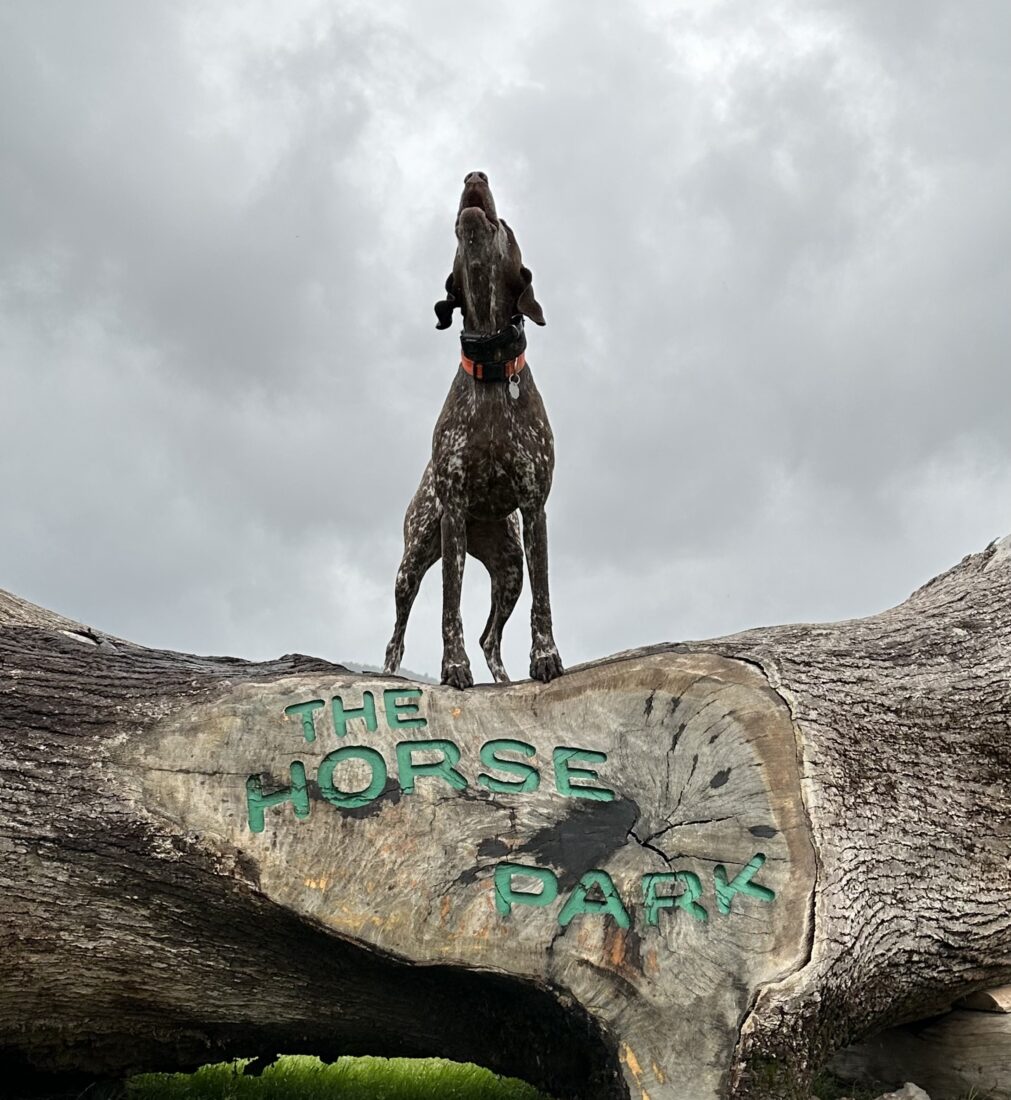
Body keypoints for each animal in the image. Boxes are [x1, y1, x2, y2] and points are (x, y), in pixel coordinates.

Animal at [382, 171, 563, 686]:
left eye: (504, 224)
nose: (474, 176)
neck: (494, 368)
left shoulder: (534, 509)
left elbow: (544, 600)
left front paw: (546, 657)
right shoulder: (454, 515)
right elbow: (450, 607)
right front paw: (453, 667)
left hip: (510, 569)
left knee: (491, 637)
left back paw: (503, 679)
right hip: (413, 561)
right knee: (396, 635)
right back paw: (390, 672)